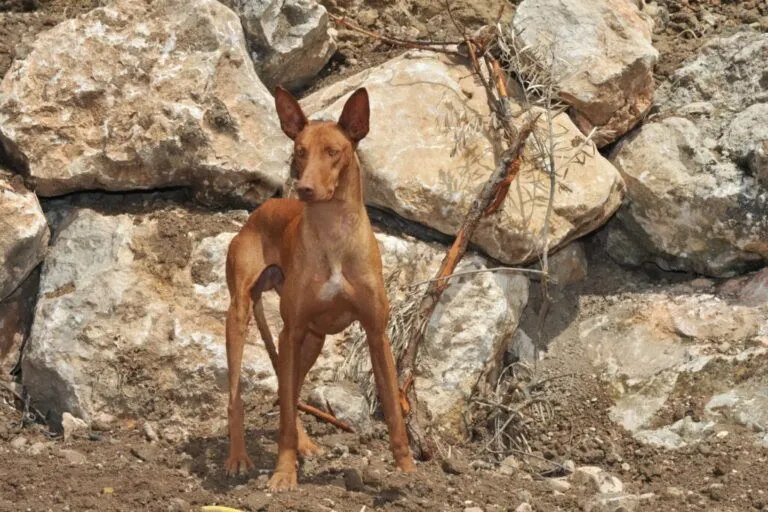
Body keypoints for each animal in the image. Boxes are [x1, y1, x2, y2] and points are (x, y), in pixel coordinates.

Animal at [224, 86, 414, 490]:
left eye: (333, 151)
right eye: (299, 150)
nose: (306, 189)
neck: (333, 234)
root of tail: (259, 212)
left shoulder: (377, 333)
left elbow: (393, 408)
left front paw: (408, 471)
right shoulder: (291, 330)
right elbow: (280, 416)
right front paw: (283, 473)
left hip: (312, 340)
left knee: (289, 390)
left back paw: (304, 443)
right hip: (242, 316)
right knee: (240, 397)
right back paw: (238, 458)